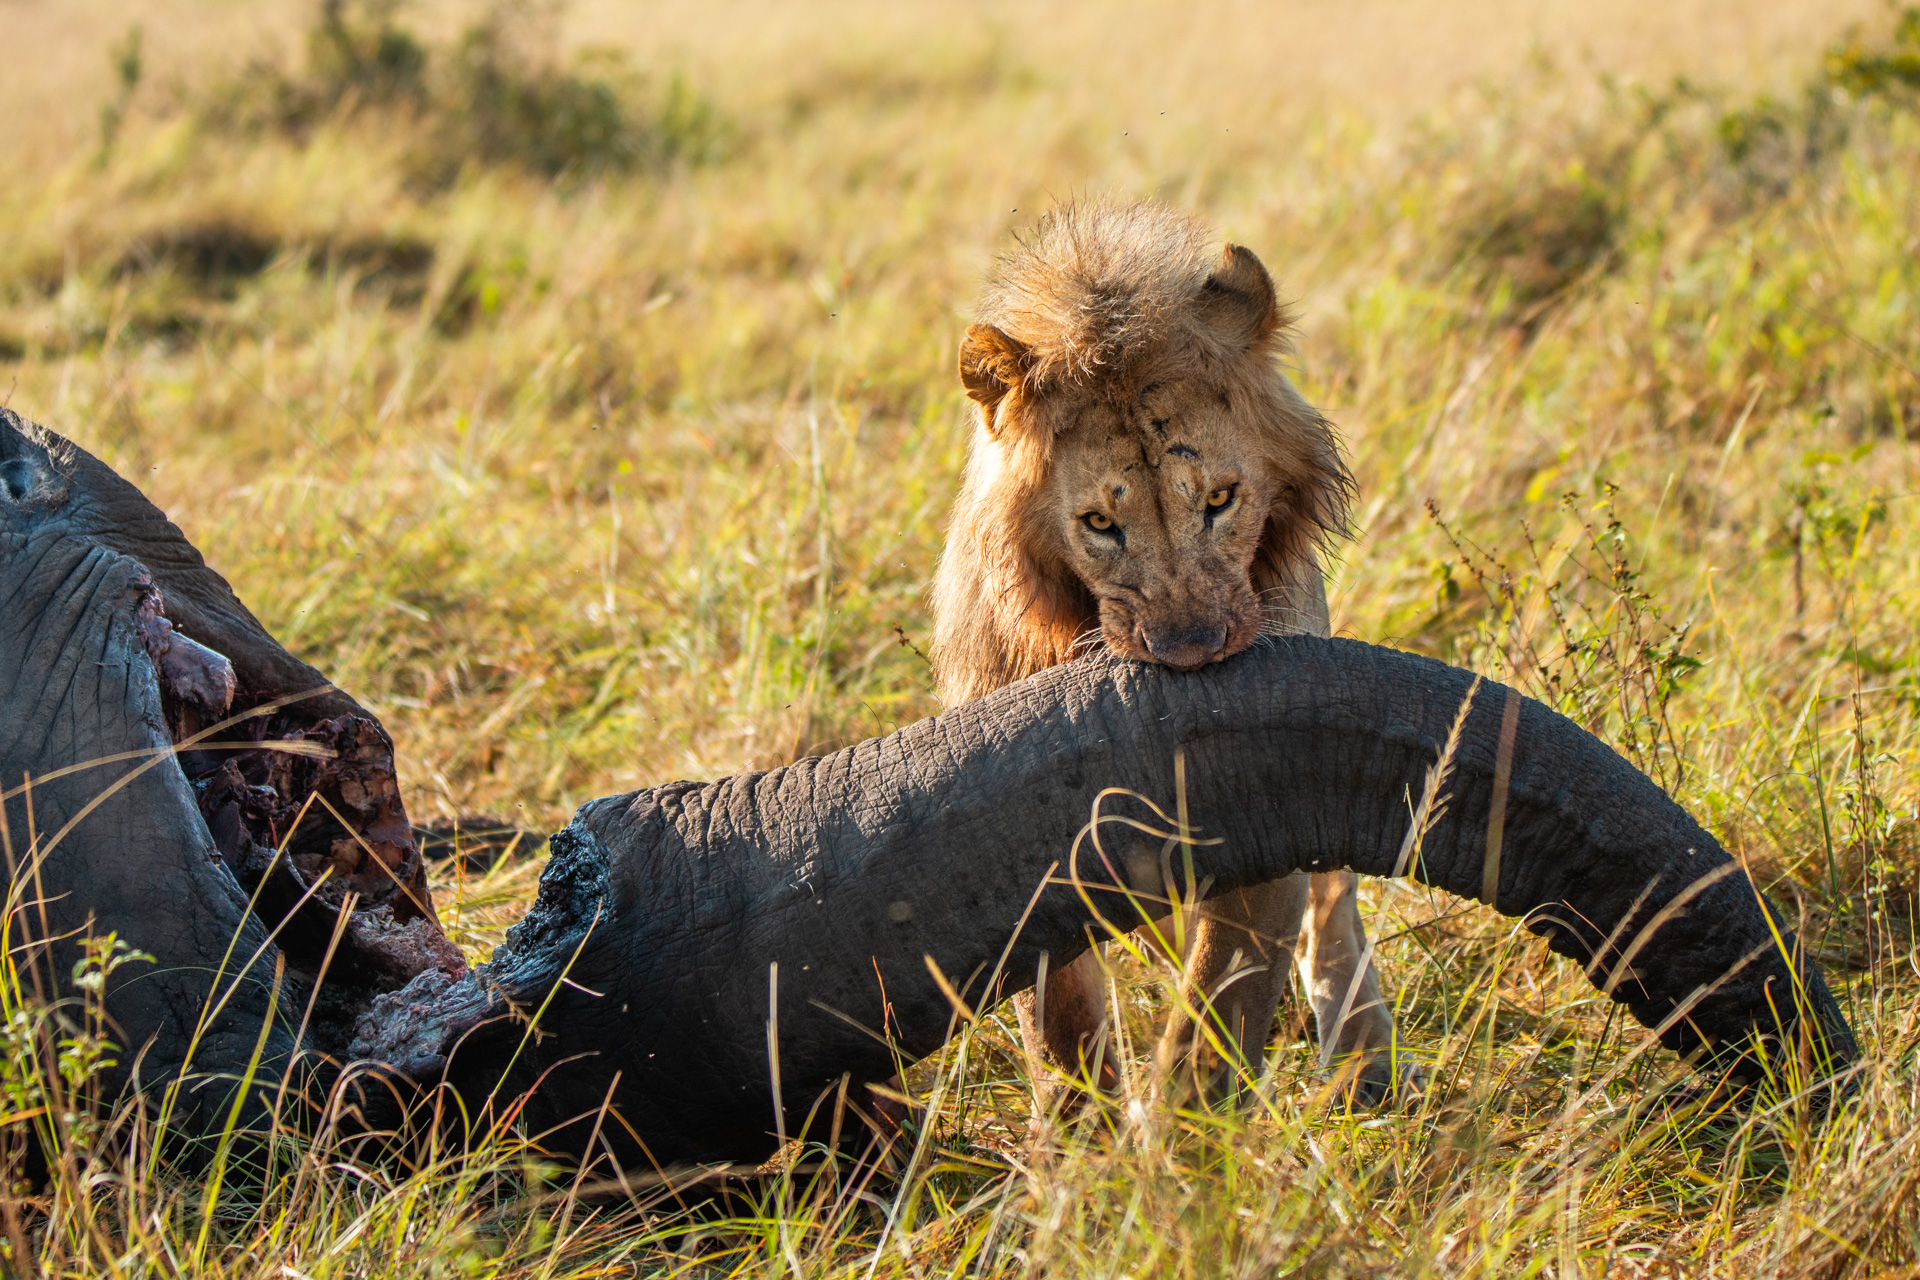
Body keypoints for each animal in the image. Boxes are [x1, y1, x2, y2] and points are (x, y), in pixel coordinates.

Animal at [933, 200, 1413, 1113]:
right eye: (1099, 523)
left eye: (1221, 500)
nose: (1190, 653)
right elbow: (1061, 1021)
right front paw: (1082, 1140)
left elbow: (1220, 1005)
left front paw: (1181, 1141)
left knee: (1335, 900)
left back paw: (1362, 1057)